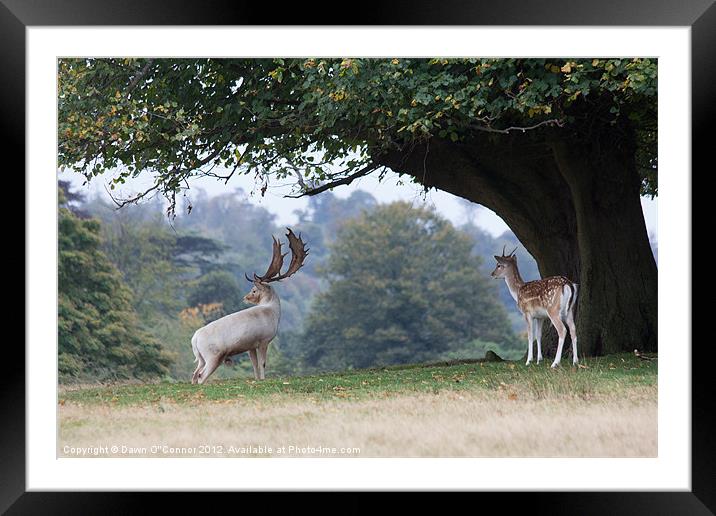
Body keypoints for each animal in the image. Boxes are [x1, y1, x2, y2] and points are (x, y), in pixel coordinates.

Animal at [192, 229, 310, 382]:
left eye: (254, 290)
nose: (245, 297)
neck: (273, 312)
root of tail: (194, 339)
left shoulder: (250, 346)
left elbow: (254, 364)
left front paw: (257, 379)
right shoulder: (264, 340)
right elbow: (262, 363)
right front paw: (263, 380)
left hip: (201, 358)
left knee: (194, 374)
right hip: (213, 356)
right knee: (201, 375)